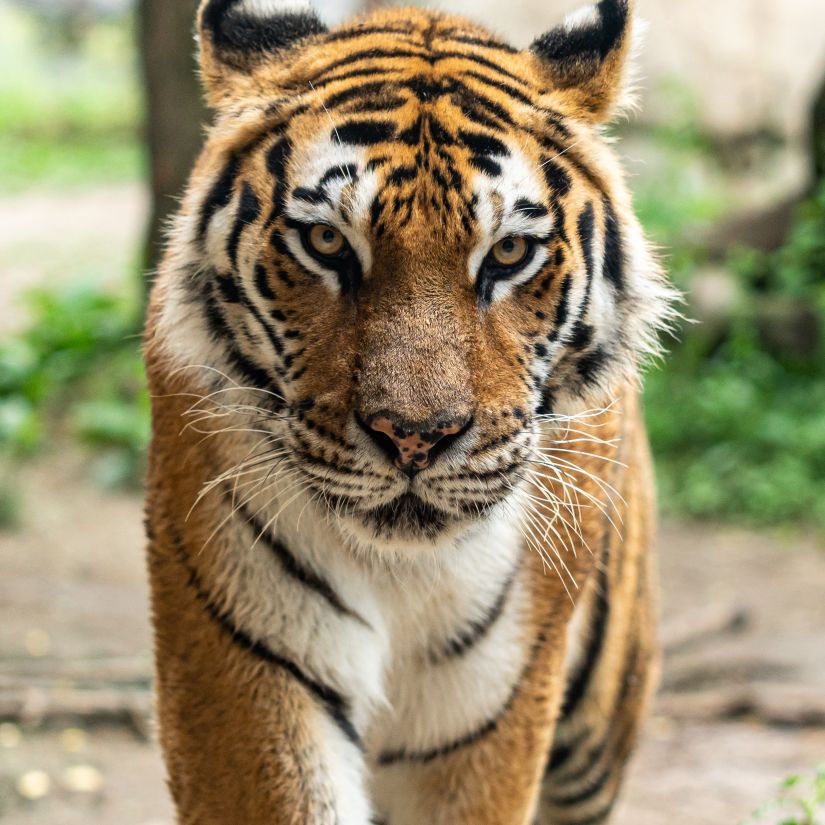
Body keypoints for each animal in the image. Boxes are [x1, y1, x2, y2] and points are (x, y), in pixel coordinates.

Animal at [145, 0, 680, 820]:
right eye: (326, 242)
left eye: (508, 253)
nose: (415, 438)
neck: (399, 569)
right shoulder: (246, 660)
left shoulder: (487, 708)